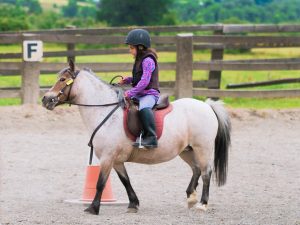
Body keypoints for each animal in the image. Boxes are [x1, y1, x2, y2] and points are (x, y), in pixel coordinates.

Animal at [41, 60, 231, 215]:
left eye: (62, 80)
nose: (45, 99)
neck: (104, 110)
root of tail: (207, 106)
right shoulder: (116, 161)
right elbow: (126, 181)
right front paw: (133, 204)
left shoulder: (107, 158)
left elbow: (101, 183)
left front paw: (93, 208)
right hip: (186, 150)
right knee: (196, 169)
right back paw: (191, 197)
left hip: (202, 148)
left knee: (206, 172)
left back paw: (202, 204)